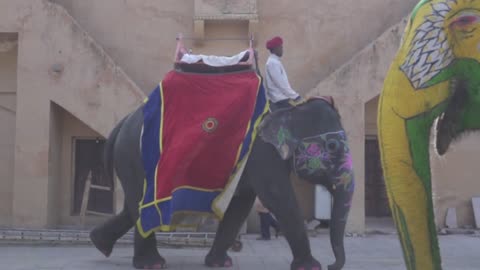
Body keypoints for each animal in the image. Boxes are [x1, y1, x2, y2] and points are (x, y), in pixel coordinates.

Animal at [88, 69, 354, 270]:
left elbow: (242, 203)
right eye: (332, 146)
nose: (332, 265)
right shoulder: (262, 153)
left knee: (132, 205)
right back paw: (151, 264)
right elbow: (277, 196)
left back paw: (99, 244)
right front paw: (312, 266)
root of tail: (123, 121)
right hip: (135, 155)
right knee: (139, 204)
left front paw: (219, 263)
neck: (290, 109)